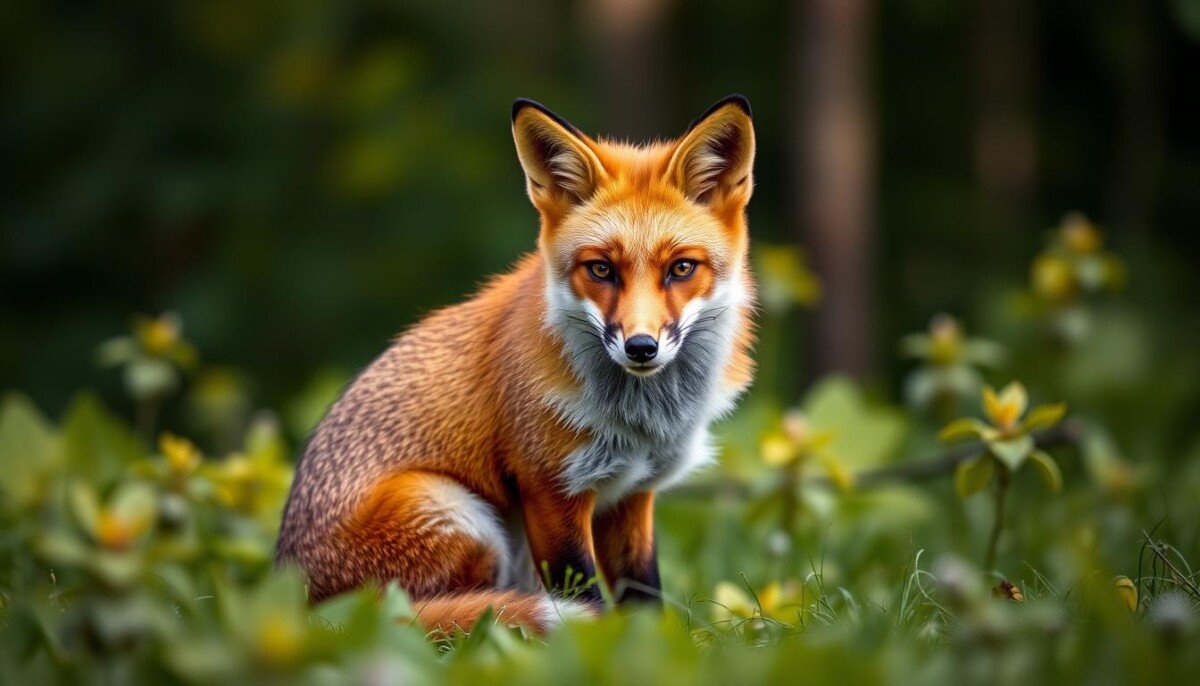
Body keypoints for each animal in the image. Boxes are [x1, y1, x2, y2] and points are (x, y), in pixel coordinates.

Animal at [275, 95, 757, 634]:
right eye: (601, 269)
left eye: (681, 268)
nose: (640, 347)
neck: (640, 421)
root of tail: (303, 607)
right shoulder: (551, 489)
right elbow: (584, 598)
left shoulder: (632, 497)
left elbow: (643, 597)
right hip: (462, 517)